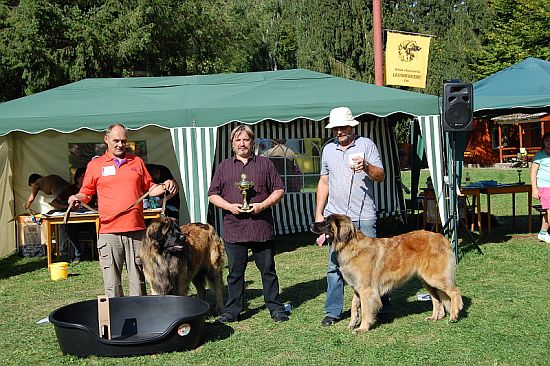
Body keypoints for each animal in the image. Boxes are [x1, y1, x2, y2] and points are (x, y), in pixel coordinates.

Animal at [312, 213, 464, 334]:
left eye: (327, 223)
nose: (311, 224)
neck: (351, 245)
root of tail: (442, 237)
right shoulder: (357, 288)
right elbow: (354, 308)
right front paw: (352, 324)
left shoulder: (366, 290)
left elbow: (365, 310)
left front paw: (362, 328)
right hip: (427, 281)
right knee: (436, 299)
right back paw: (435, 317)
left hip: (435, 278)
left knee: (455, 291)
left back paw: (454, 315)